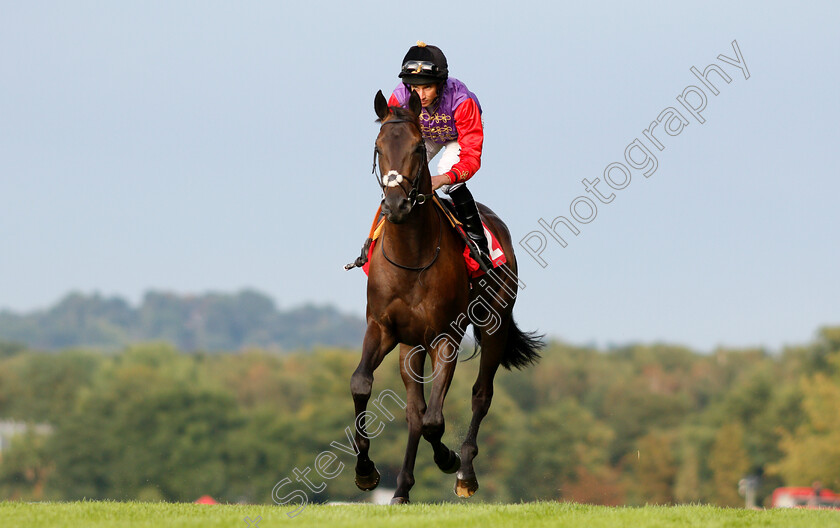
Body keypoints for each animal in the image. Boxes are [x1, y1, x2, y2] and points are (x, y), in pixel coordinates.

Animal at [350, 87, 540, 504]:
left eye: (419, 147)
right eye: (378, 147)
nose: (396, 205)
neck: (411, 256)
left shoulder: (445, 337)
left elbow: (436, 420)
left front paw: (449, 460)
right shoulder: (382, 328)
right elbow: (363, 385)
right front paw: (366, 471)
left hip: (494, 325)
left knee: (480, 395)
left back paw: (465, 472)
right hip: (410, 346)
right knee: (414, 411)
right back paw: (402, 488)